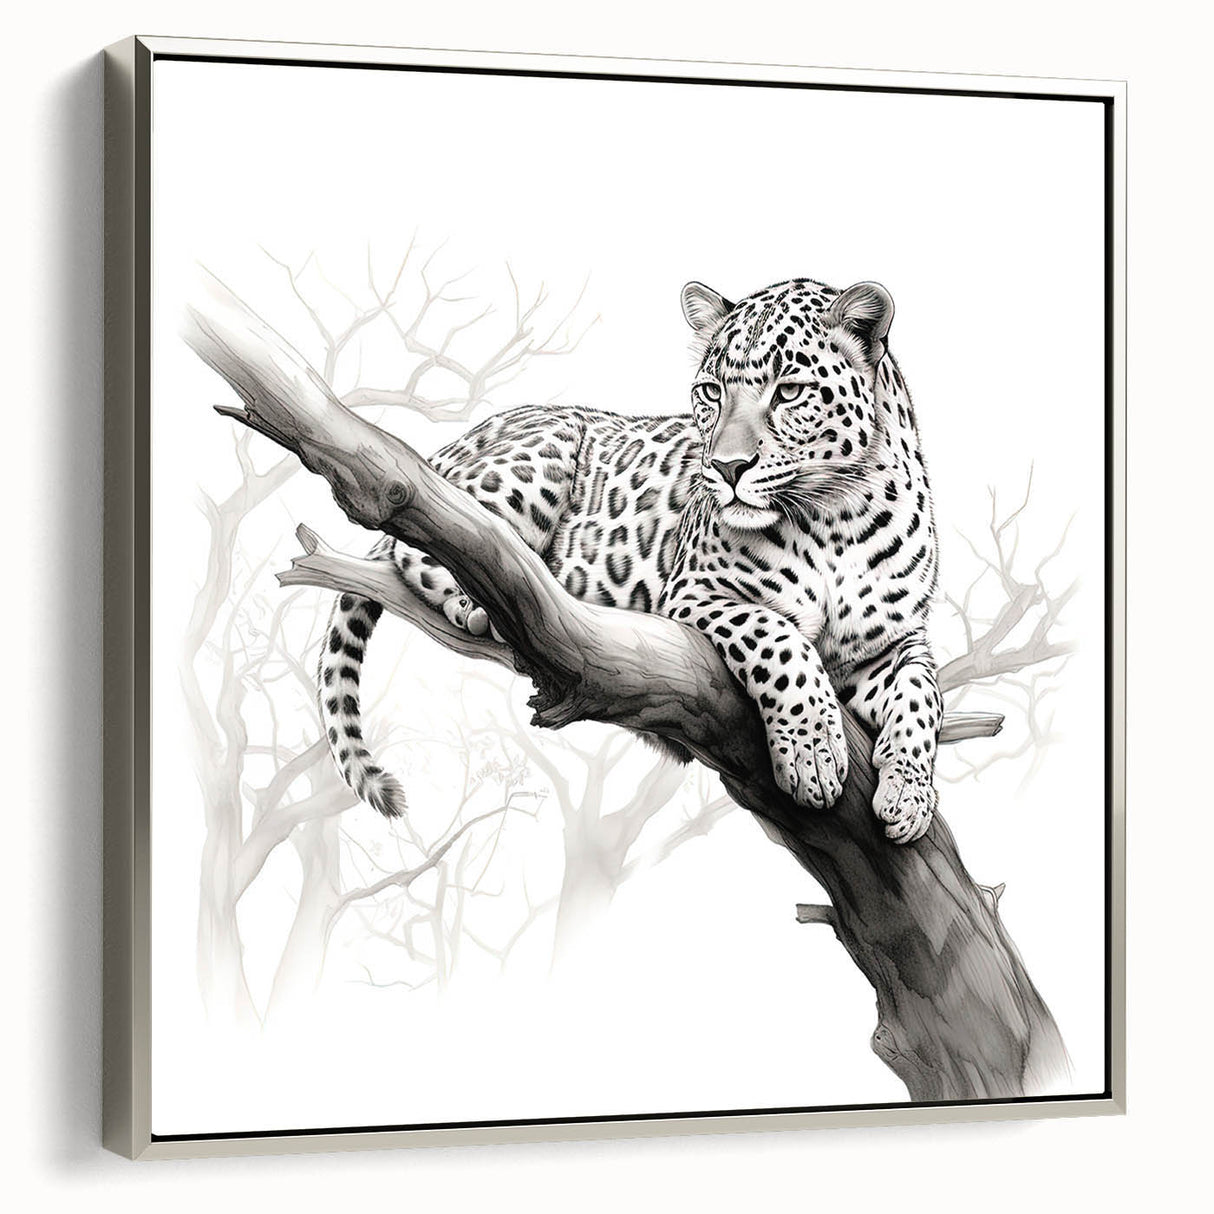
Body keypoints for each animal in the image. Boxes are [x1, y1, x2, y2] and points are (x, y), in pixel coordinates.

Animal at [318, 276, 942, 843]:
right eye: (711, 392)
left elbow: (923, 695)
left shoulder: (894, 641)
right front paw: (813, 753)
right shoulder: (694, 593)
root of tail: (462, 438)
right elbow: (778, 640)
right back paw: (479, 599)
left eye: (789, 393)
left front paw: (909, 797)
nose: (726, 467)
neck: (837, 519)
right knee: (435, 535)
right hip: (532, 463)